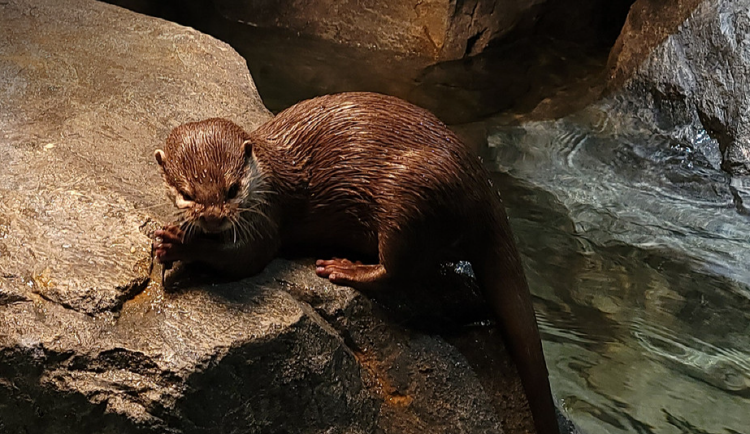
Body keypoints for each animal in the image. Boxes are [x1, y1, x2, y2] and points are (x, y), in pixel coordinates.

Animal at [154, 92, 560, 434]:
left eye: (232, 188)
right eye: (187, 193)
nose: (213, 218)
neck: (264, 174)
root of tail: (484, 189)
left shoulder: (266, 214)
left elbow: (248, 258)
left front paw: (179, 244)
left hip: (411, 200)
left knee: (397, 270)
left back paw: (343, 268)